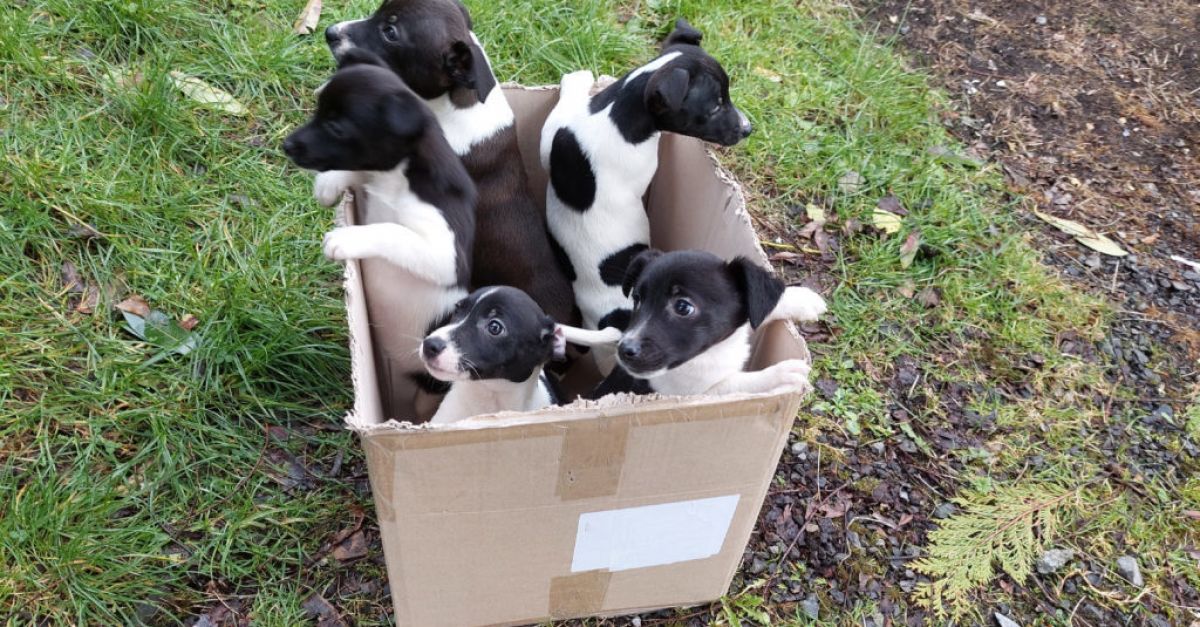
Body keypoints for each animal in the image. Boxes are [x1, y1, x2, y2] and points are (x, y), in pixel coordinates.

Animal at [283, 50, 475, 420]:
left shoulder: (444, 253)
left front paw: (344, 239)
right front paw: (328, 185)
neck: (397, 177)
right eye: (317, 111)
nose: (286, 145)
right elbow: (355, 174)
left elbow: (391, 229)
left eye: (336, 127)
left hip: (431, 381)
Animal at [542, 18, 748, 374]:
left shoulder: (551, 139)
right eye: (715, 106)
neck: (619, 110)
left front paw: (576, 81)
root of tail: (616, 326)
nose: (748, 129)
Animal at [588, 247, 830, 398]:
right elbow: (738, 384)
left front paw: (799, 298)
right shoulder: (693, 394)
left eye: (683, 307)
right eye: (637, 300)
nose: (624, 350)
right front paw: (780, 376)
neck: (713, 351)